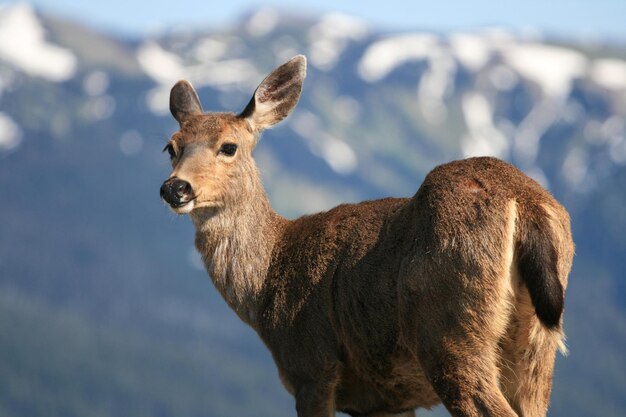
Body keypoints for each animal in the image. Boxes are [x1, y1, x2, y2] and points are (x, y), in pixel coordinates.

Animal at [160, 56, 572, 416]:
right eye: (171, 147)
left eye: (228, 146)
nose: (175, 188)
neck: (268, 282)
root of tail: (524, 201)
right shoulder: (383, 402)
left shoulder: (311, 365)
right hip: (538, 350)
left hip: (449, 329)